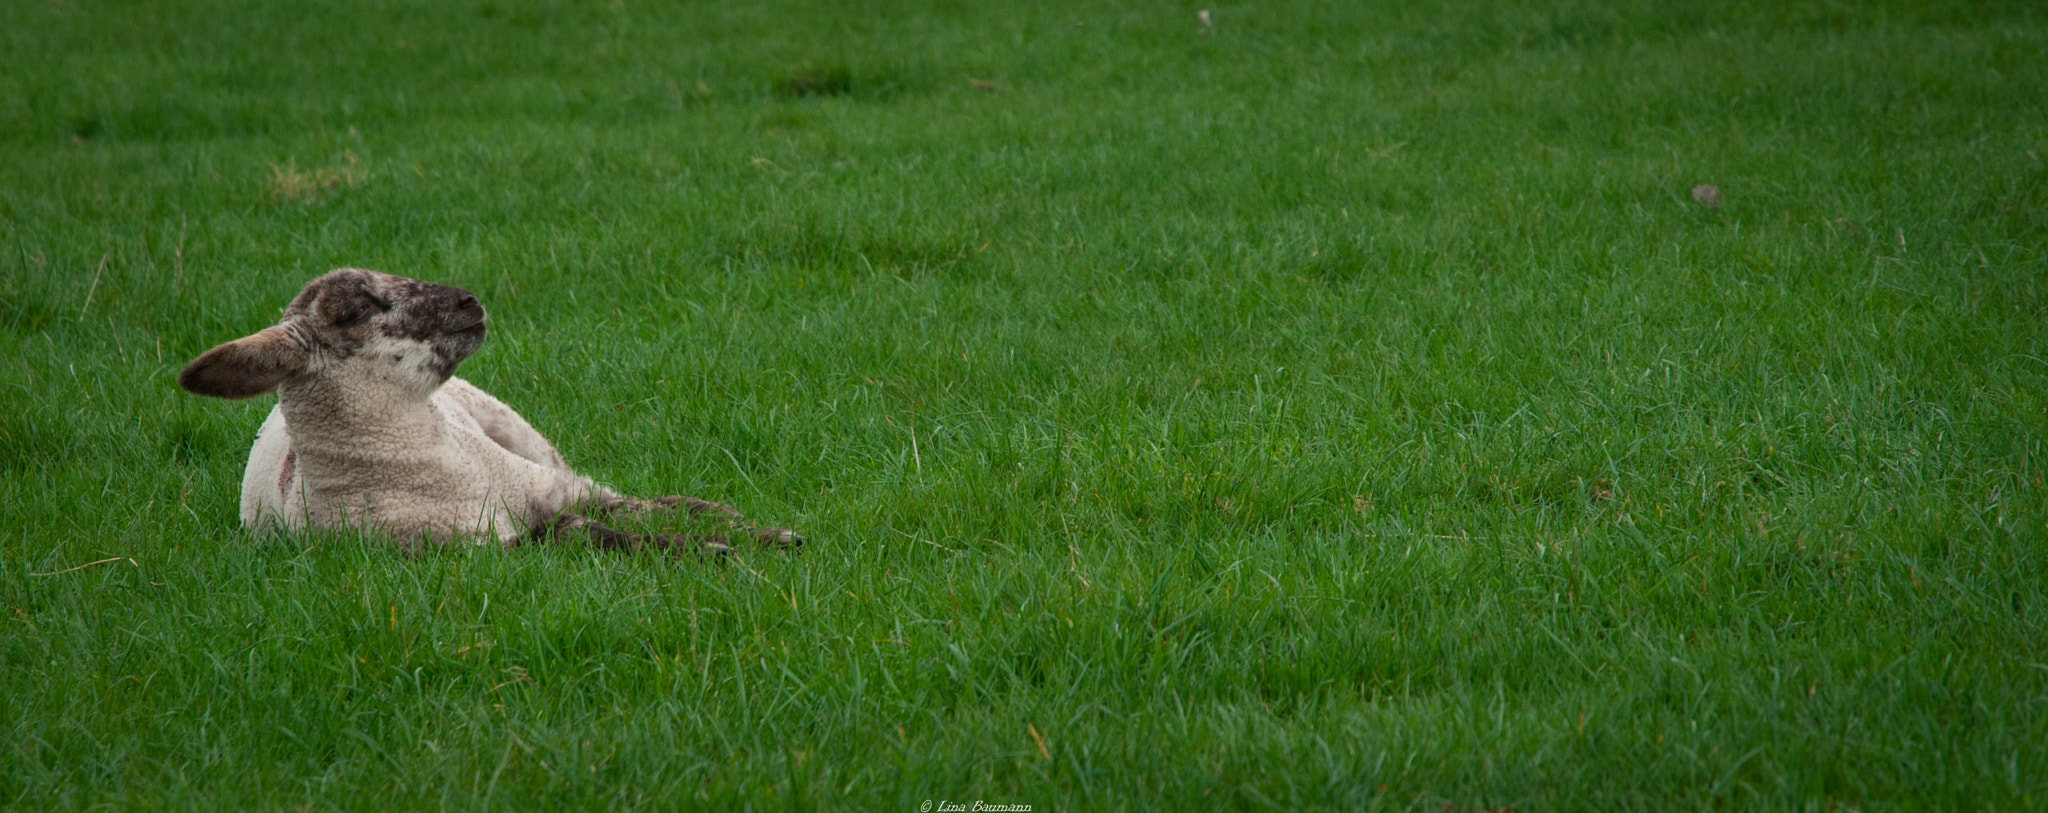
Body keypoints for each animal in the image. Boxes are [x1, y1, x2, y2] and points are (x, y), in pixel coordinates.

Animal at [178, 267, 801, 556]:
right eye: (356, 309)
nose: (469, 301)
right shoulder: (474, 548)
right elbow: (587, 535)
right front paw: (708, 551)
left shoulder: (549, 488)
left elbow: (647, 508)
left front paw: (759, 532)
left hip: (521, 433)